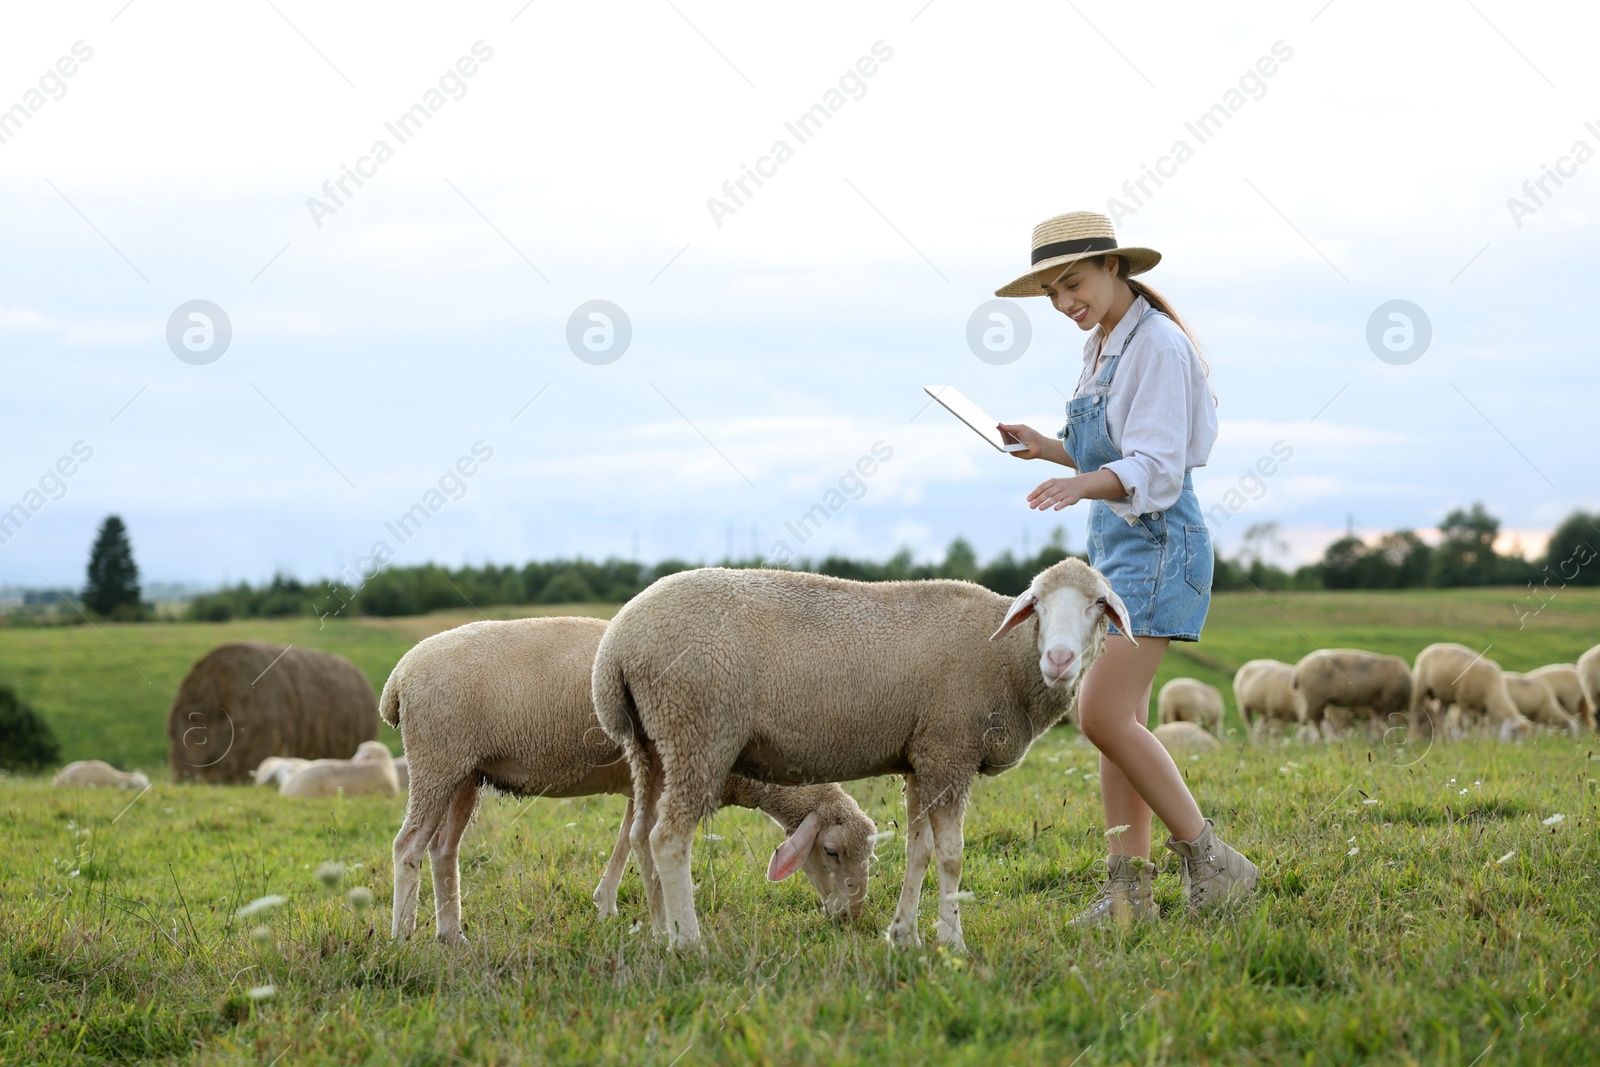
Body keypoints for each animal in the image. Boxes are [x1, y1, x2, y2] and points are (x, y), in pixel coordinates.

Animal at [377, 614, 876, 947]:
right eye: (832, 851)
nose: (852, 917)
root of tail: (397, 678)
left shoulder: (639, 783)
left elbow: (624, 840)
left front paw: (607, 905)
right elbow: (638, 843)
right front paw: (649, 920)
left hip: (464, 773)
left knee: (443, 850)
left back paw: (451, 935)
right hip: (435, 760)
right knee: (408, 845)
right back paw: (402, 936)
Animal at [595, 559, 1132, 953]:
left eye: (1099, 603)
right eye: (1036, 603)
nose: (1060, 660)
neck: (1007, 655)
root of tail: (618, 645)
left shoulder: (921, 758)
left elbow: (919, 850)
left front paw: (904, 937)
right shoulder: (949, 752)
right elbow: (952, 854)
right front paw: (952, 941)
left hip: (651, 744)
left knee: (641, 833)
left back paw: (660, 935)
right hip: (698, 733)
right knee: (669, 839)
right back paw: (689, 944)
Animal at [1286, 652, 1414, 742]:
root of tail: (1298, 671)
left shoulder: (1378, 706)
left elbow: (1375, 725)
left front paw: (1376, 740)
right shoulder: (1390, 703)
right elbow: (1388, 725)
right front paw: (1388, 739)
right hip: (1314, 700)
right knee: (1311, 723)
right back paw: (1318, 742)